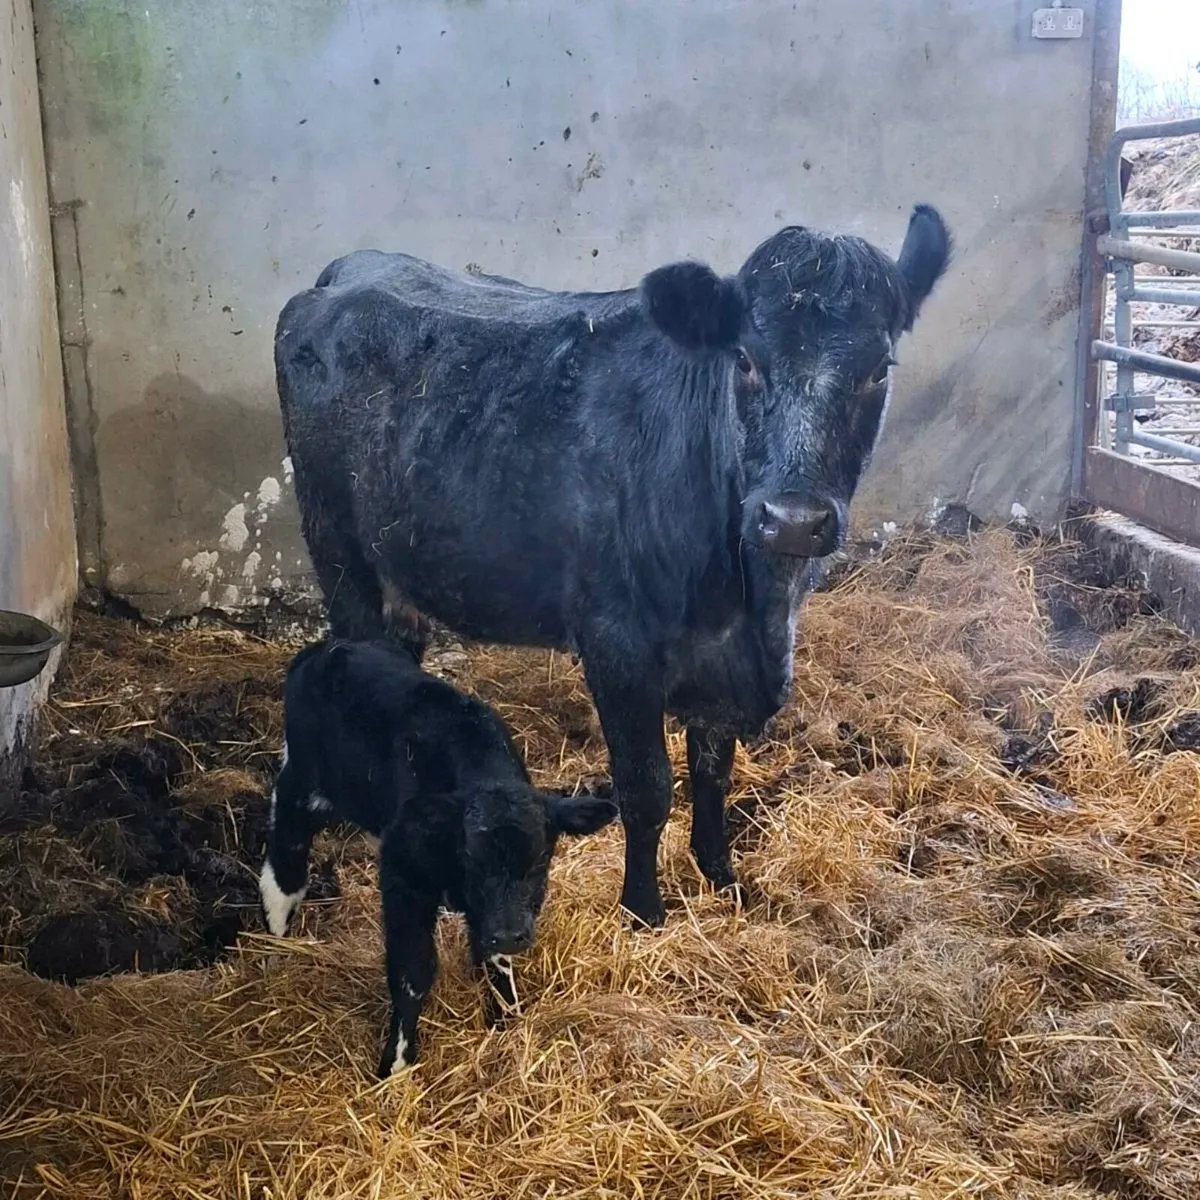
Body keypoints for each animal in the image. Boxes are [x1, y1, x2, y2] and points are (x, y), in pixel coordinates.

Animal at [259, 638, 618, 1075]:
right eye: (472, 859)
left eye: (539, 860)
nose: (511, 934)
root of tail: (327, 647)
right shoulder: (403, 880)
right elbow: (412, 971)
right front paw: (396, 1064)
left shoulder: (494, 913)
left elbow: (493, 955)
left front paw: (508, 1016)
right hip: (304, 786)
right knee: (285, 850)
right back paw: (277, 934)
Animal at [275, 205, 951, 929]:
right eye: (744, 359)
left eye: (878, 368)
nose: (793, 517)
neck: (750, 605)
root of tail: (347, 271)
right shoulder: (615, 642)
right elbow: (648, 788)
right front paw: (643, 910)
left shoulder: (725, 663)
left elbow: (713, 770)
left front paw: (720, 877)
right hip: (337, 548)